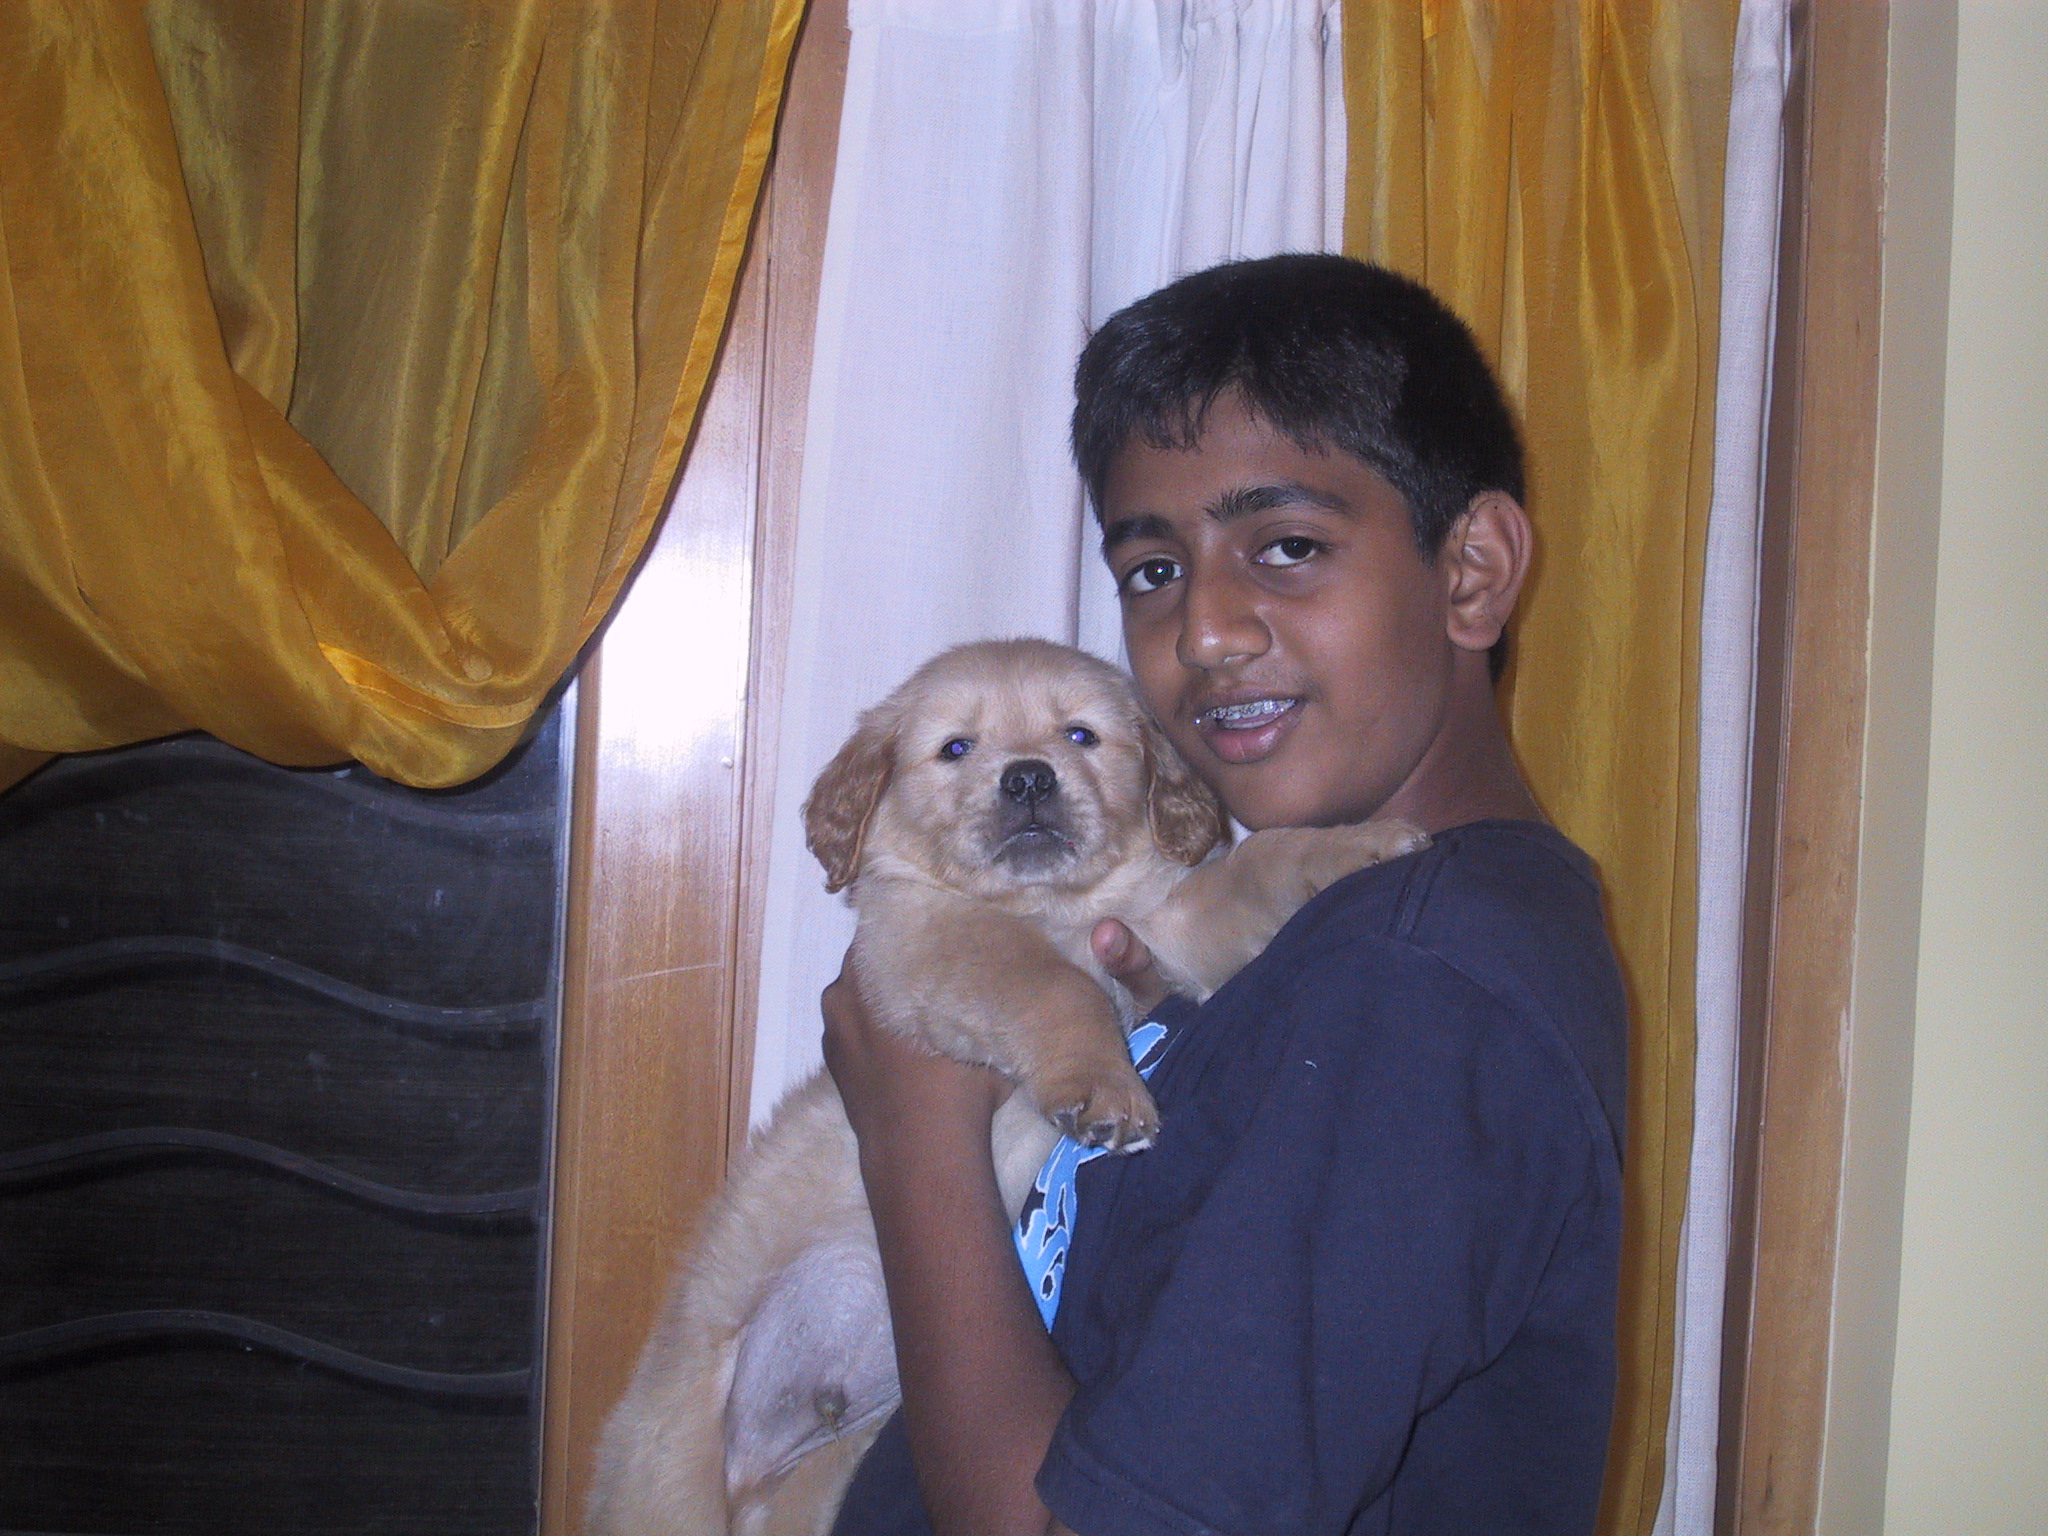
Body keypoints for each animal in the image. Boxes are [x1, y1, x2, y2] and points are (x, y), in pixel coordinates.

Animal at [588, 638, 1426, 1536]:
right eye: (957, 748)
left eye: (1081, 735)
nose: (1027, 778)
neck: (1052, 906)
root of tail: (749, 1471)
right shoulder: (932, 941)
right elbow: (1054, 986)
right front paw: (1104, 1090)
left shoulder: (1169, 928)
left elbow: (1259, 866)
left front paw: (1365, 841)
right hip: (669, 1487)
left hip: (814, 1489)